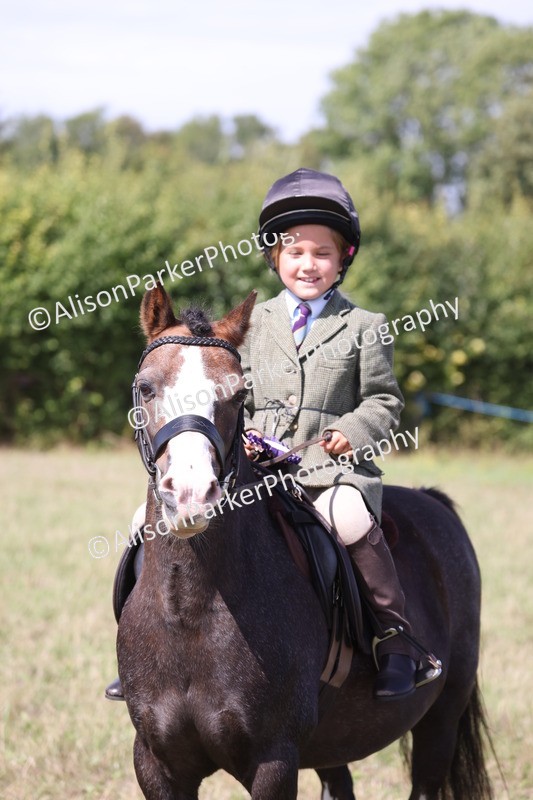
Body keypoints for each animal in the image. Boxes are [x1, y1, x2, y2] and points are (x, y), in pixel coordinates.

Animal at [117, 283, 494, 800]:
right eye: (146, 387)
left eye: (238, 393)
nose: (192, 495)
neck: (189, 611)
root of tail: (432, 501)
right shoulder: (156, 763)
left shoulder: (274, 761)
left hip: (440, 718)